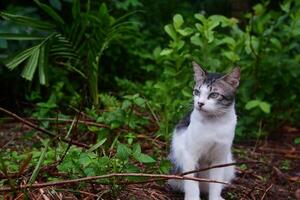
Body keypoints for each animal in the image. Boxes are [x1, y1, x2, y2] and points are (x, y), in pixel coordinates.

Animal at [168, 61, 240, 200]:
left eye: (214, 95)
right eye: (196, 92)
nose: (200, 103)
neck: (214, 123)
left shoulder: (219, 159)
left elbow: (215, 184)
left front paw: (215, 197)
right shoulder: (190, 155)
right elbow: (191, 182)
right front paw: (192, 198)